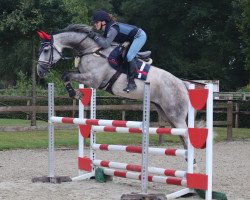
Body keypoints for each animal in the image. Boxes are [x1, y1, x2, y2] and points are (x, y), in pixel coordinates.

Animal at [37, 24, 194, 159]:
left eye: (46, 50)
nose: (40, 71)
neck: (91, 50)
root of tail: (182, 84)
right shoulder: (86, 77)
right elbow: (66, 75)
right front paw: (77, 93)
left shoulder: (93, 80)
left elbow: (66, 75)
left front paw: (75, 93)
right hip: (166, 114)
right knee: (182, 138)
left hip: (176, 116)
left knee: (187, 137)